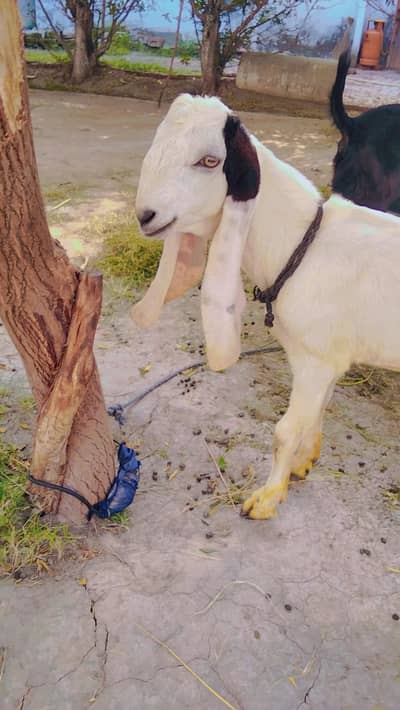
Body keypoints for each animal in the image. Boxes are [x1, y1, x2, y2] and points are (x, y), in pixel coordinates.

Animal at [132, 93, 400, 520]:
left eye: (210, 161)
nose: (146, 216)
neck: (304, 244)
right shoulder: (326, 360)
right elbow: (317, 412)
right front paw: (304, 463)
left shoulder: (314, 361)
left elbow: (285, 430)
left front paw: (266, 499)